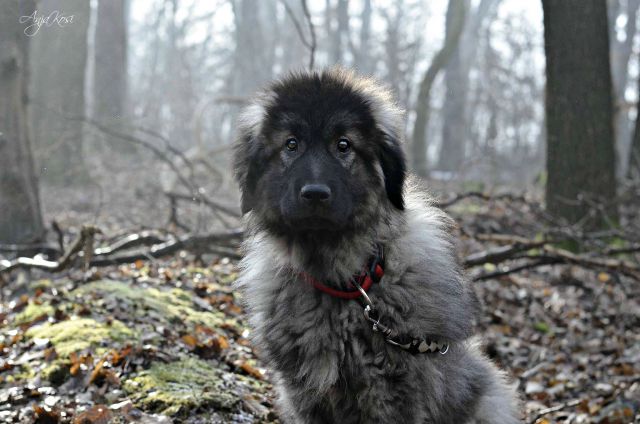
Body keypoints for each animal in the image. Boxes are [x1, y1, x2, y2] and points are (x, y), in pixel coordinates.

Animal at [232, 68, 516, 422]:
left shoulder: (391, 393)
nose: (315, 194)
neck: (346, 283)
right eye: (291, 144)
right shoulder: (304, 393)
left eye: (343, 145)